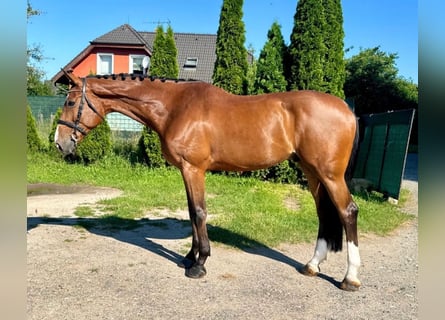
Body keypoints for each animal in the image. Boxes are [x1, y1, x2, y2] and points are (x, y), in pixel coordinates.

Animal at [55, 71, 360, 292]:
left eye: (70, 102)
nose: (59, 144)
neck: (175, 107)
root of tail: (347, 110)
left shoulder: (194, 169)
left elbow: (199, 212)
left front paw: (199, 264)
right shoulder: (186, 171)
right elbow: (192, 212)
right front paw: (190, 257)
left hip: (330, 175)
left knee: (348, 212)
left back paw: (350, 278)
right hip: (312, 173)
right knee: (324, 214)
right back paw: (312, 266)